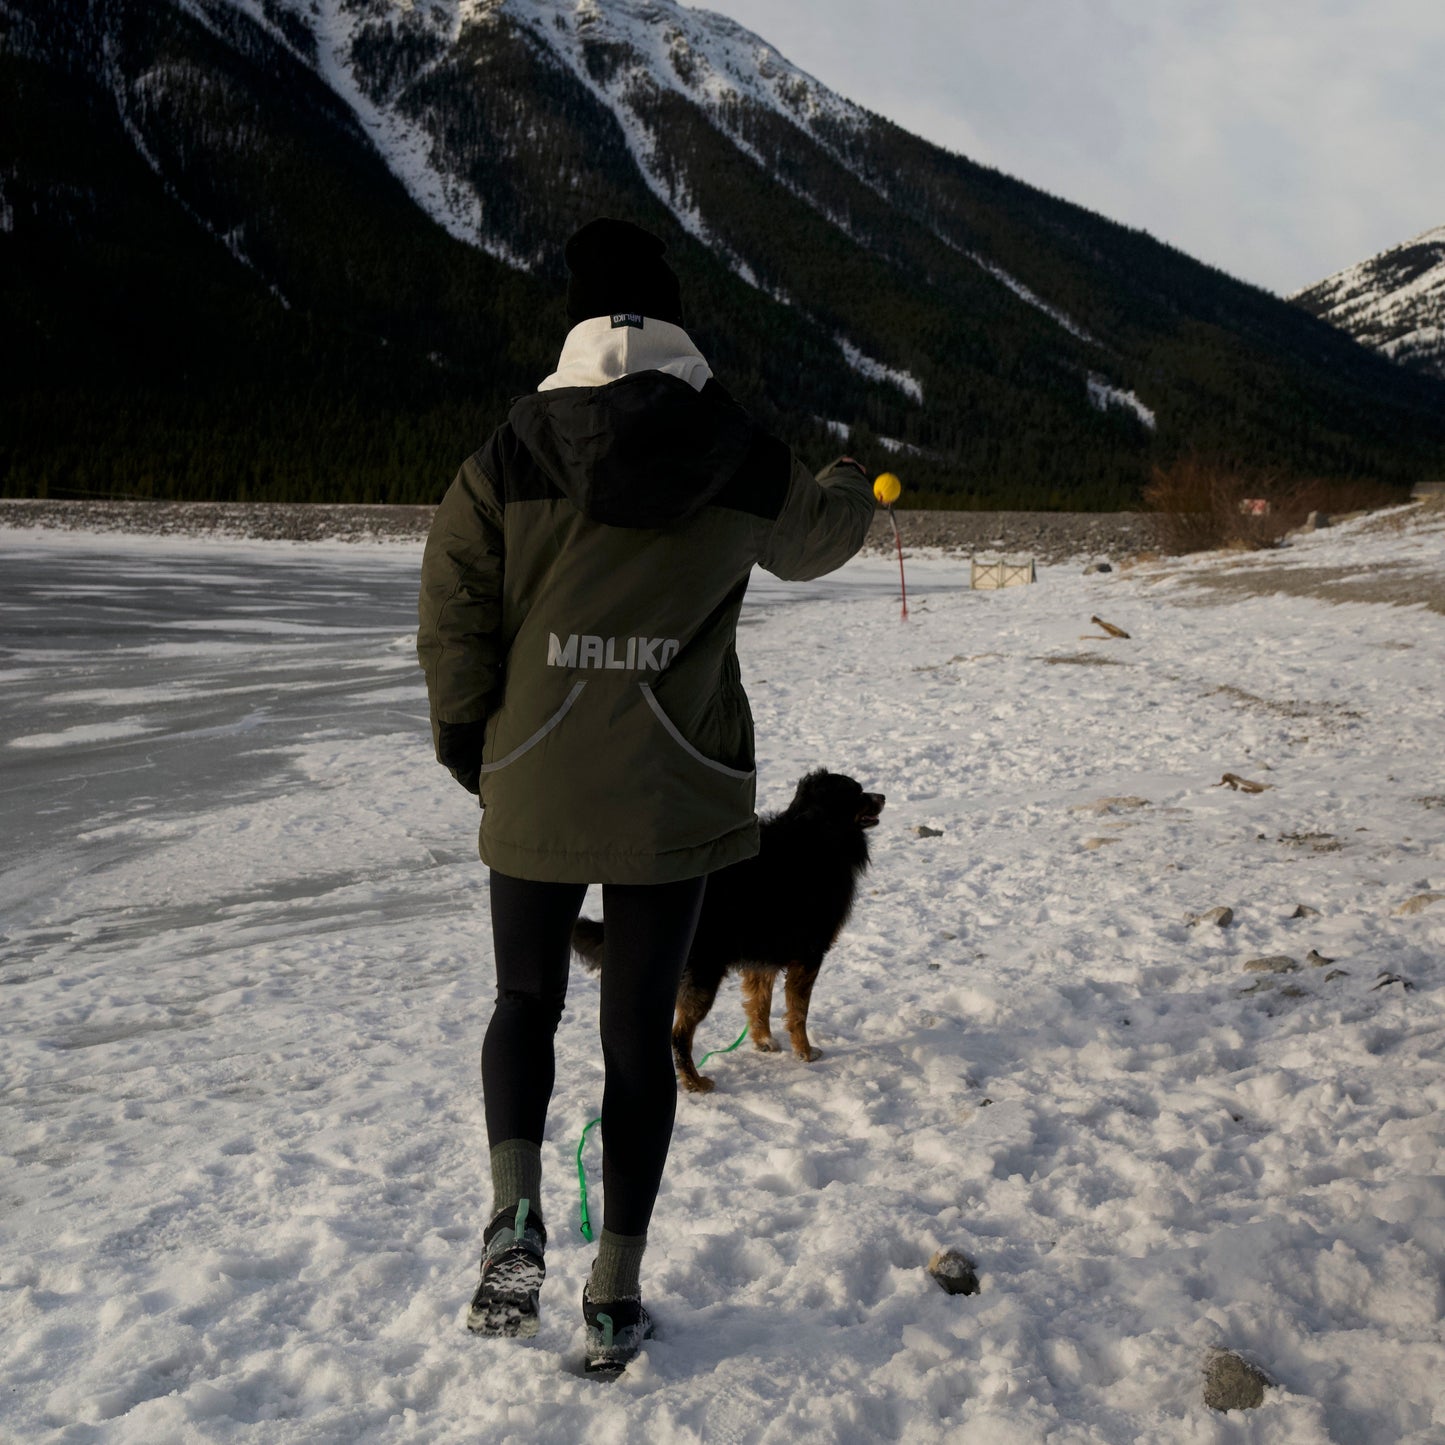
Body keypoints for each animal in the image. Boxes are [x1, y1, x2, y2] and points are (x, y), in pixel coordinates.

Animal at [572, 774, 884, 1086]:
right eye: (858, 793)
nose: (882, 797)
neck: (815, 833)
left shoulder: (762, 953)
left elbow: (760, 1003)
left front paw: (764, 1042)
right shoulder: (809, 955)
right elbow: (798, 1012)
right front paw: (805, 1052)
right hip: (702, 975)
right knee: (678, 1035)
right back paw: (695, 1082)